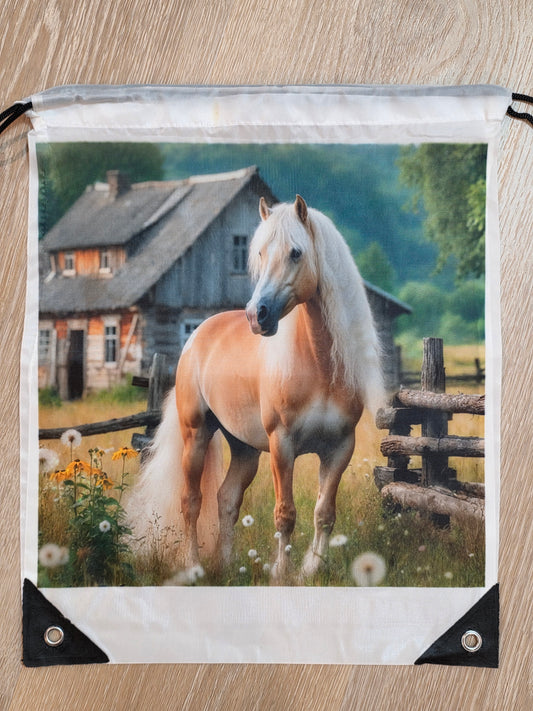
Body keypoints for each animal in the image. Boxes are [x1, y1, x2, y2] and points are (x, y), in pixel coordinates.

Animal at [129, 195, 384, 579]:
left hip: (244, 449)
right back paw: (194, 566)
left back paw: (226, 564)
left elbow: (324, 513)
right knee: (192, 501)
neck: (319, 365)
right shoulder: (282, 445)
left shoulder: (340, 448)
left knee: (226, 499)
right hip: (196, 434)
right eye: (261, 253)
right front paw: (281, 572)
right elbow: (285, 514)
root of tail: (196, 337)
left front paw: (312, 569)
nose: (256, 315)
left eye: (296, 252)